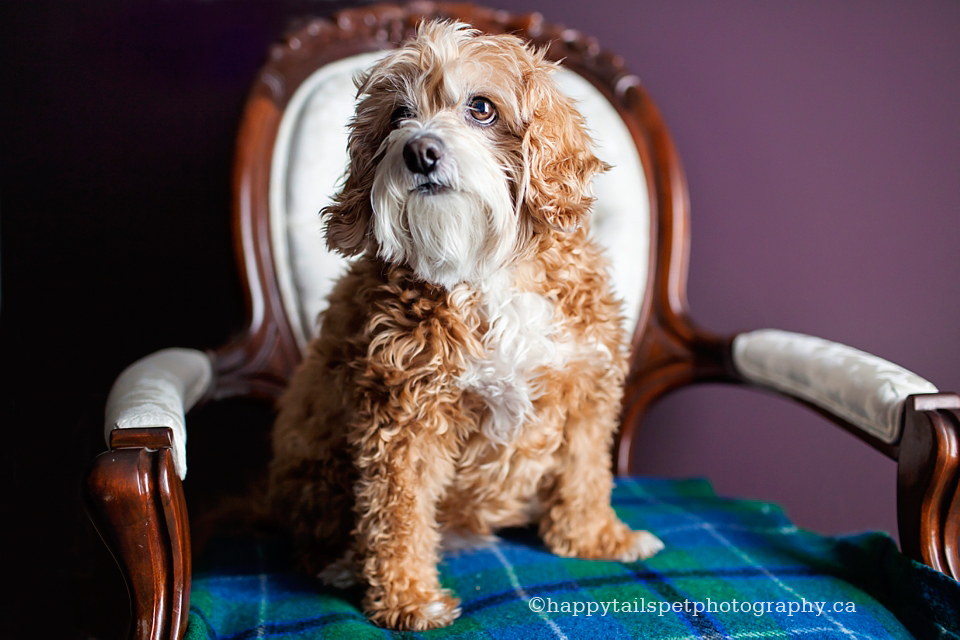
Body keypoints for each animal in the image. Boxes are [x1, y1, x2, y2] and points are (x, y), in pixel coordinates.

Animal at [266, 18, 664, 632]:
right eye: (398, 116)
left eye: (481, 108)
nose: (419, 151)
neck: (484, 265)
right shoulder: (403, 416)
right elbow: (398, 511)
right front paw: (407, 599)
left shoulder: (586, 389)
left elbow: (584, 472)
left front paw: (595, 538)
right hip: (313, 465)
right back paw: (343, 565)